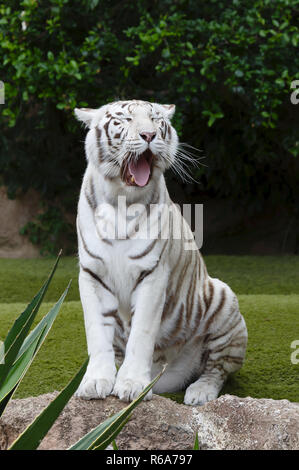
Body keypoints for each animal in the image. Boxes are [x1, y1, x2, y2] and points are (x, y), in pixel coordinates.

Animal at [74, 100, 247, 408]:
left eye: (156, 120)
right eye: (124, 119)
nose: (149, 135)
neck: (121, 200)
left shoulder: (152, 273)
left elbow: (142, 333)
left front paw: (132, 384)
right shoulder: (93, 274)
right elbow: (97, 333)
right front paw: (95, 382)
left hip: (223, 301)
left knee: (217, 368)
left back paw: (199, 392)